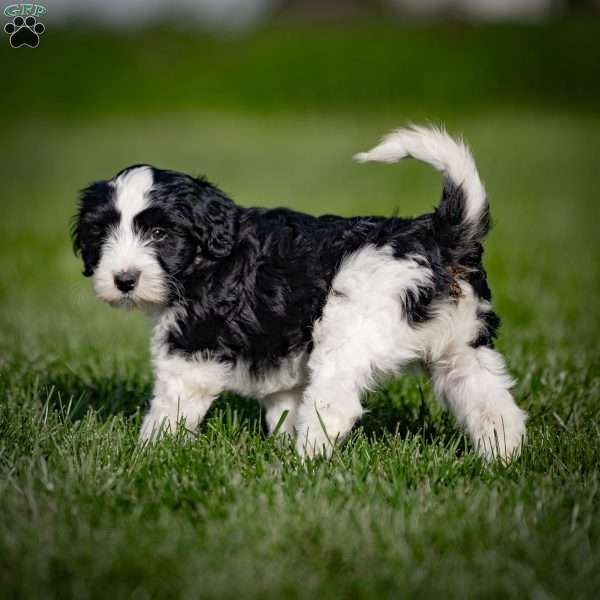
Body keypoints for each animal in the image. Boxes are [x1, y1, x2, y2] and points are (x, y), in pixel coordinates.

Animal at [72, 124, 528, 458]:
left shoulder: (192, 346)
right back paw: (501, 458)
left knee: (335, 406)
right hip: (462, 347)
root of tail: (439, 234)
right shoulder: (280, 359)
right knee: (494, 404)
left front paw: (149, 451)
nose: (123, 279)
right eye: (103, 233)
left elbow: (172, 404)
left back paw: (305, 460)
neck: (211, 257)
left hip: (351, 336)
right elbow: (283, 405)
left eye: (160, 234)